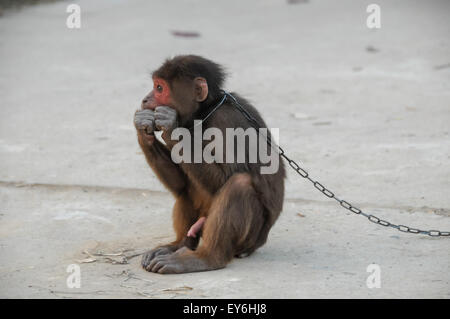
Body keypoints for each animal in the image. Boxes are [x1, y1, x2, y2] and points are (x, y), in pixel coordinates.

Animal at [132, 55, 284, 276]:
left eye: (159, 88)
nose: (145, 99)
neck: (205, 112)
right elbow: (180, 184)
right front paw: (143, 127)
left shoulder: (226, 121)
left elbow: (227, 177)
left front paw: (170, 126)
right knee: (186, 190)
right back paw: (180, 244)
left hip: (249, 240)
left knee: (239, 184)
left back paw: (208, 258)